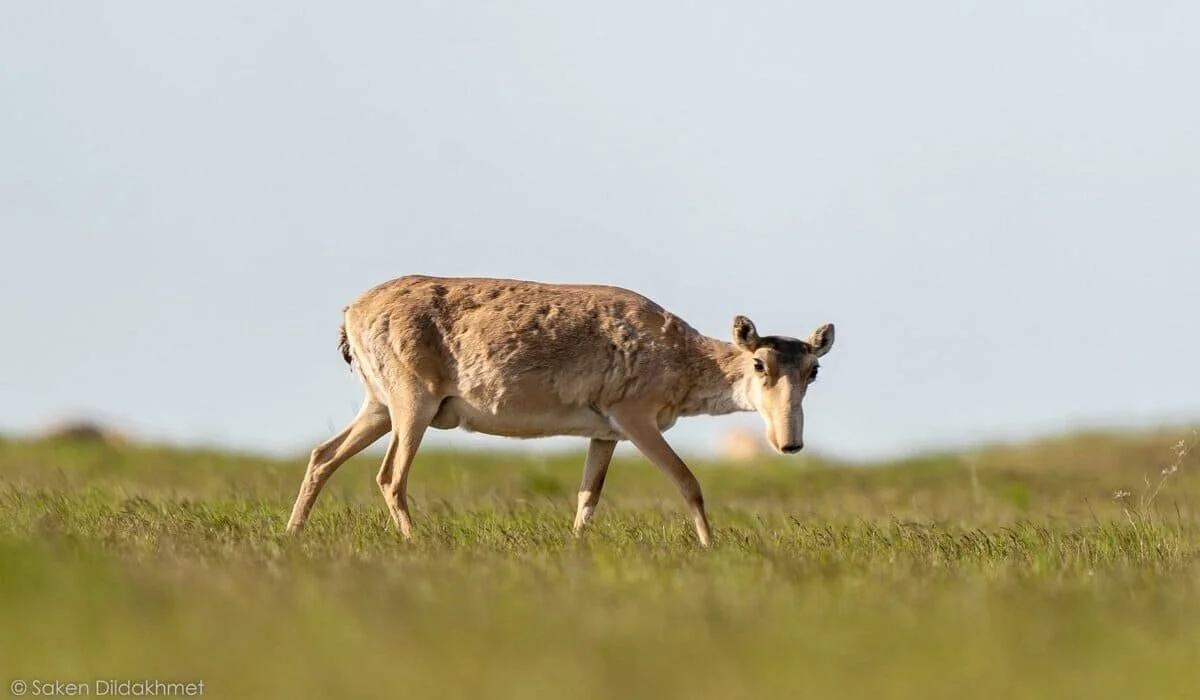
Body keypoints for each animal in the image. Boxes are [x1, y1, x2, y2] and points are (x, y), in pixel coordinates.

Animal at [289, 276, 835, 549]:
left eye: (814, 370)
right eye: (759, 363)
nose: (790, 443)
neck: (683, 356)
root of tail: (351, 311)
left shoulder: (606, 435)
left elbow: (587, 495)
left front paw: (577, 545)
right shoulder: (636, 419)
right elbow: (688, 481)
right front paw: (709, 547)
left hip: (378, 406)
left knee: (323, 455)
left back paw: (293, 534)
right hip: (412, 405)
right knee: (390, 475)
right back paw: (416, 542)